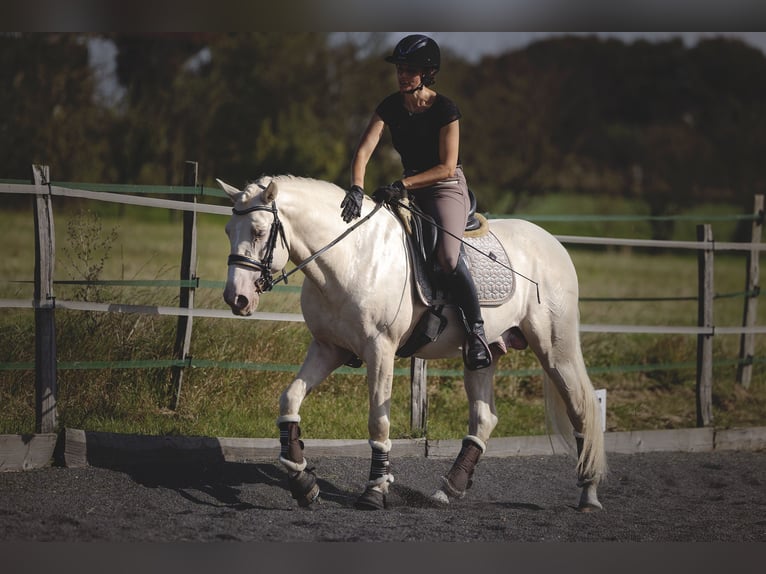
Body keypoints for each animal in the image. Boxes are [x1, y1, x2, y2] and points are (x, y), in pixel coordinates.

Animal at [216, 174, 608, 512]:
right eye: (227, 231)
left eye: (259, 231)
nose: (237, 298)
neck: (352, 257)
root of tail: (553, 243)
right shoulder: (328, 348)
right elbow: (290, 400)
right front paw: (301, 480)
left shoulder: (380, 350)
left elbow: (378, 422)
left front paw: (375, 490)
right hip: (484, 353)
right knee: (484, 418)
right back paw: (448, 489)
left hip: (555, 351)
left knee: (581, 409)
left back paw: (589, 492)